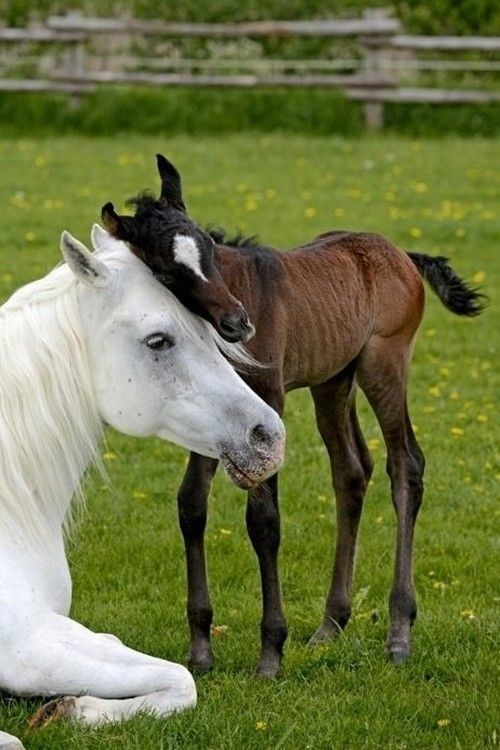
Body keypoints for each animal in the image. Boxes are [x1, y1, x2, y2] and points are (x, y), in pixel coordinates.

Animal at [102, 156, 484, 680]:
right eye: (165, 270)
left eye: (209, 249)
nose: (238, 323)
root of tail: (400, 254)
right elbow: (191, 505)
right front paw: (201, 648)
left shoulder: (269, 400)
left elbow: (263, 519)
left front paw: (270, 653)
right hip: (334, 380)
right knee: (352, 470)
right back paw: (331, 624)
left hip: (384, 363)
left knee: (406, 465)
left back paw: (398, 633)